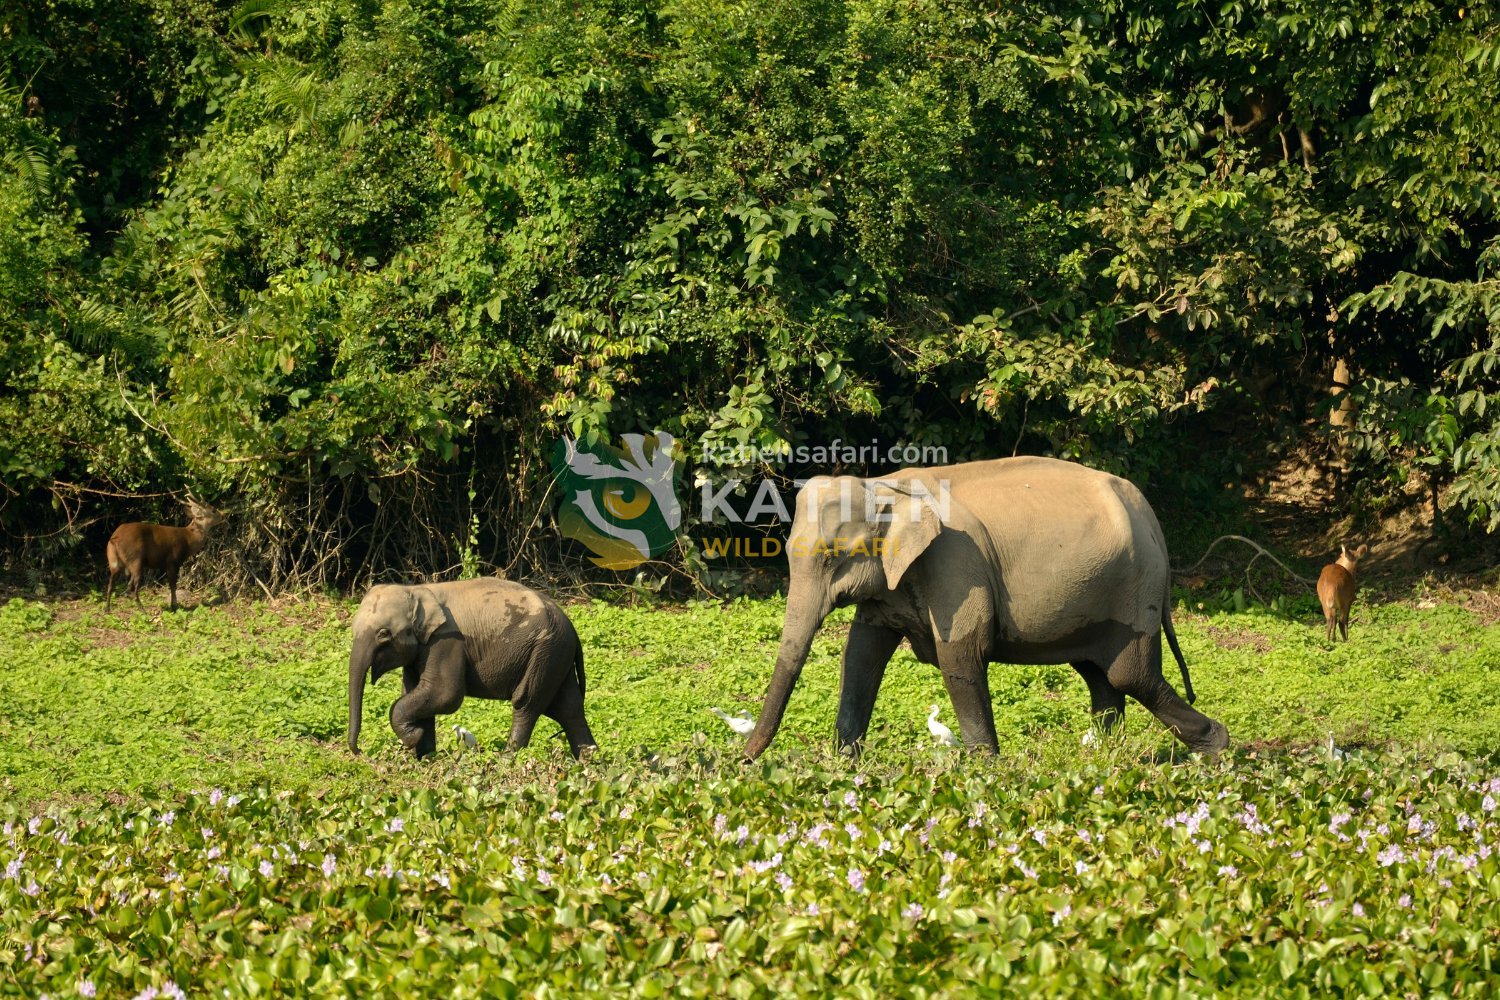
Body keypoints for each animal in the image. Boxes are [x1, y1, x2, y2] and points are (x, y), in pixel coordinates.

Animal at [347, 578, 597, 759]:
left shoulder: (446, 642)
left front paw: (414, 740)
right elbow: (416, 693)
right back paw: (589, 762)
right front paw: (426, 759)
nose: (360, 753)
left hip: (544, 652)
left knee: (527, 703)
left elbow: (445, 695)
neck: (417, 589)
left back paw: (506, 761)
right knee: (569, 709)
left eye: (383, 634)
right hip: (556, 656)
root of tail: (572, 629)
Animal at [743, 456, 1229, 760]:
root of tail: (1149, 513)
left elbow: (959, 657)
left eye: (832, 556)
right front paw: (845, 764)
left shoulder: (957, 564)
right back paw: (1101, 755)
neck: (884, 484)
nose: (742, 762)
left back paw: (1216, 748)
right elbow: (861, 654)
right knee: (1101, 675)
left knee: (1129, 673)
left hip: (1133, 588)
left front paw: (985, 769)